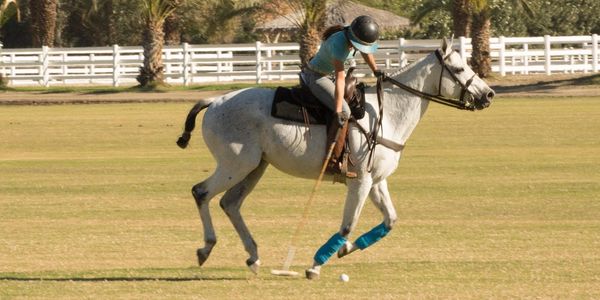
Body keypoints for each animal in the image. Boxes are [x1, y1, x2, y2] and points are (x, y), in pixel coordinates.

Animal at [176, 39, 494, 278]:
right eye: (458, 68)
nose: (489, 94)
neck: (388, 113)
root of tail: (214, 101)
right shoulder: (360, 181)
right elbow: (347, 224)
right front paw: (316, 263)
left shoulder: (376, 181)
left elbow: (390, 220)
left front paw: (346, 248)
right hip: (235, 164)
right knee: (201, 192)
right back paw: (206, 248)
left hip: (255, 166)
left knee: (230, 203)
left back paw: (253, 256)